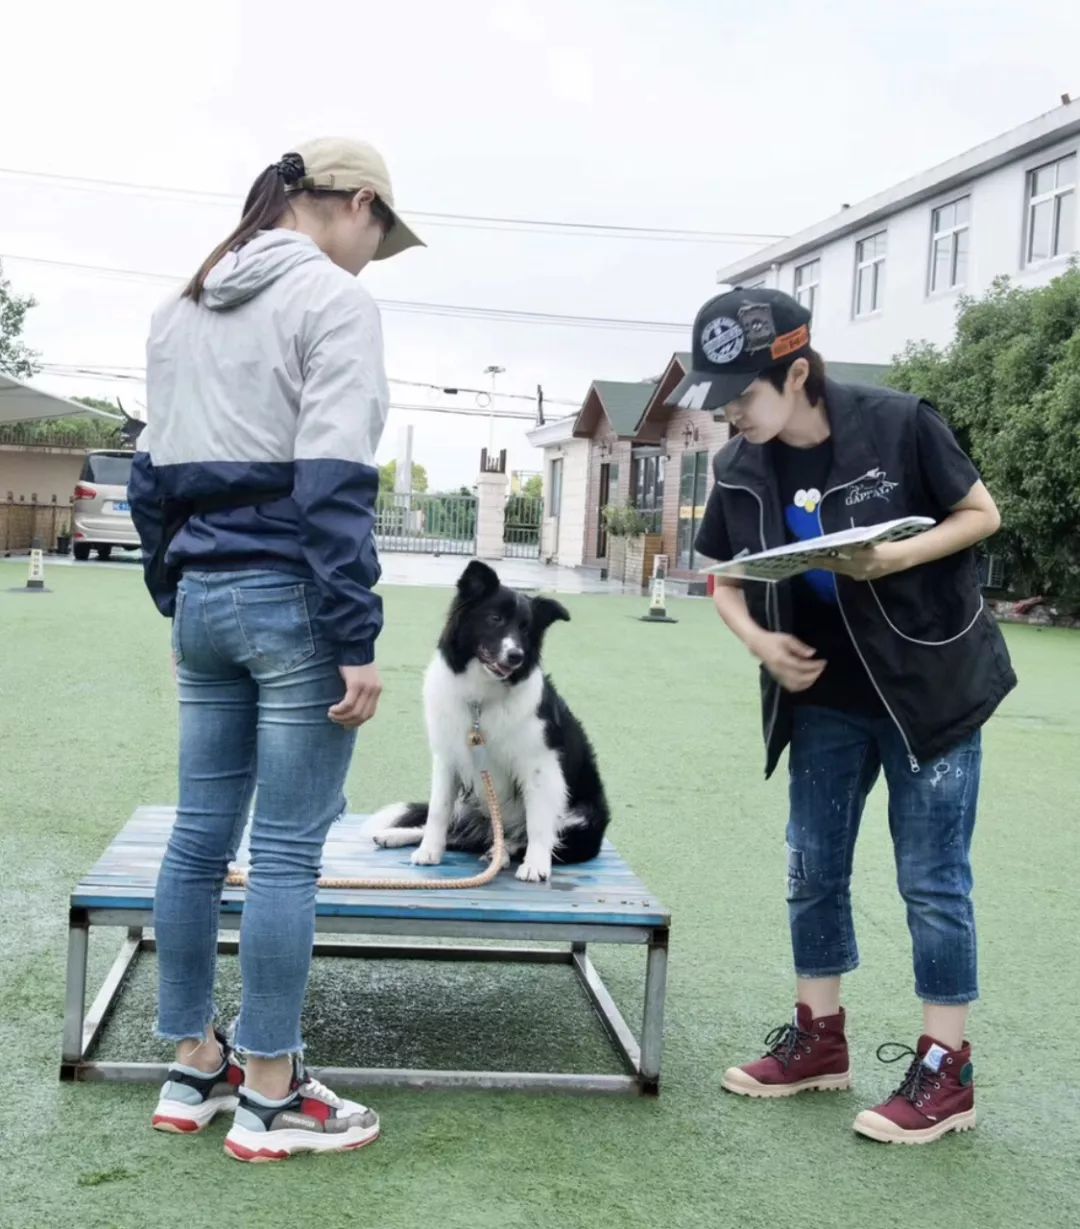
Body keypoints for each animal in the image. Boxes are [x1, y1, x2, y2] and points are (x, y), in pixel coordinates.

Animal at [371, 557, 609, 884]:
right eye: (495, 618)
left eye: (526, 629)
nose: (516, 656)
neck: (480, 700)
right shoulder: (447, 759)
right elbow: (437, 811)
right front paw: (429, 851)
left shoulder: (540, 766)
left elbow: (538, 823)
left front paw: (536, 865)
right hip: (471, 806)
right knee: (459, 833)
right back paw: (395, 835)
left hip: (583, 818)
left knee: (520, 837)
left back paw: (503, 851)